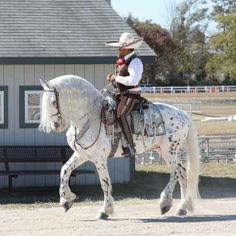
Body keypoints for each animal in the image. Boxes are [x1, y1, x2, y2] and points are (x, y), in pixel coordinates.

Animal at [38, 75, 199, 219]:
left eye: (53, 102)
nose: (56, 126)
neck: (90, 117)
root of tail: (183, 114)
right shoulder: (82, 155)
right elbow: (64, 170)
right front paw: (66, 200)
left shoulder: (100, 160)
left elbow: (105, 184)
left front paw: (105, 210)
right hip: (164, 151)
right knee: (183, 174)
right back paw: (183, 208)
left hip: (168, 152)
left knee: (176, 173)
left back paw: (165, 203)